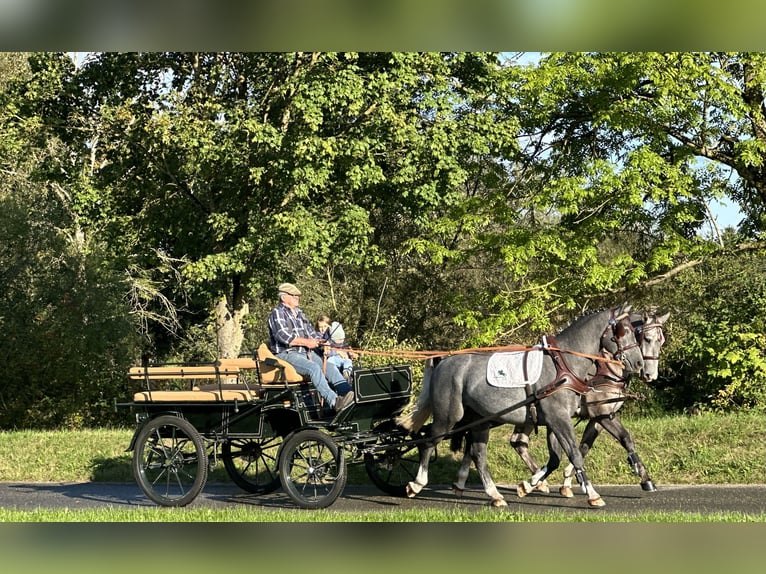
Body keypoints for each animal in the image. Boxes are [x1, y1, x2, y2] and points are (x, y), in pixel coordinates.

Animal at [400, 306, 644, 508]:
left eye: (635, 332)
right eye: (622, 331)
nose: (639, 363)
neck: (563, 365)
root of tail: (443, 360)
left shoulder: (572, 418)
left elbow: (567, 454)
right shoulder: (558, 418)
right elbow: (574, 453)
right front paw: (592, 494)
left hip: (478, 418)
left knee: (477, 453)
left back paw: (494, 495)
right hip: (449, 415)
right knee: (429, 441)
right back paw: (417, 483)